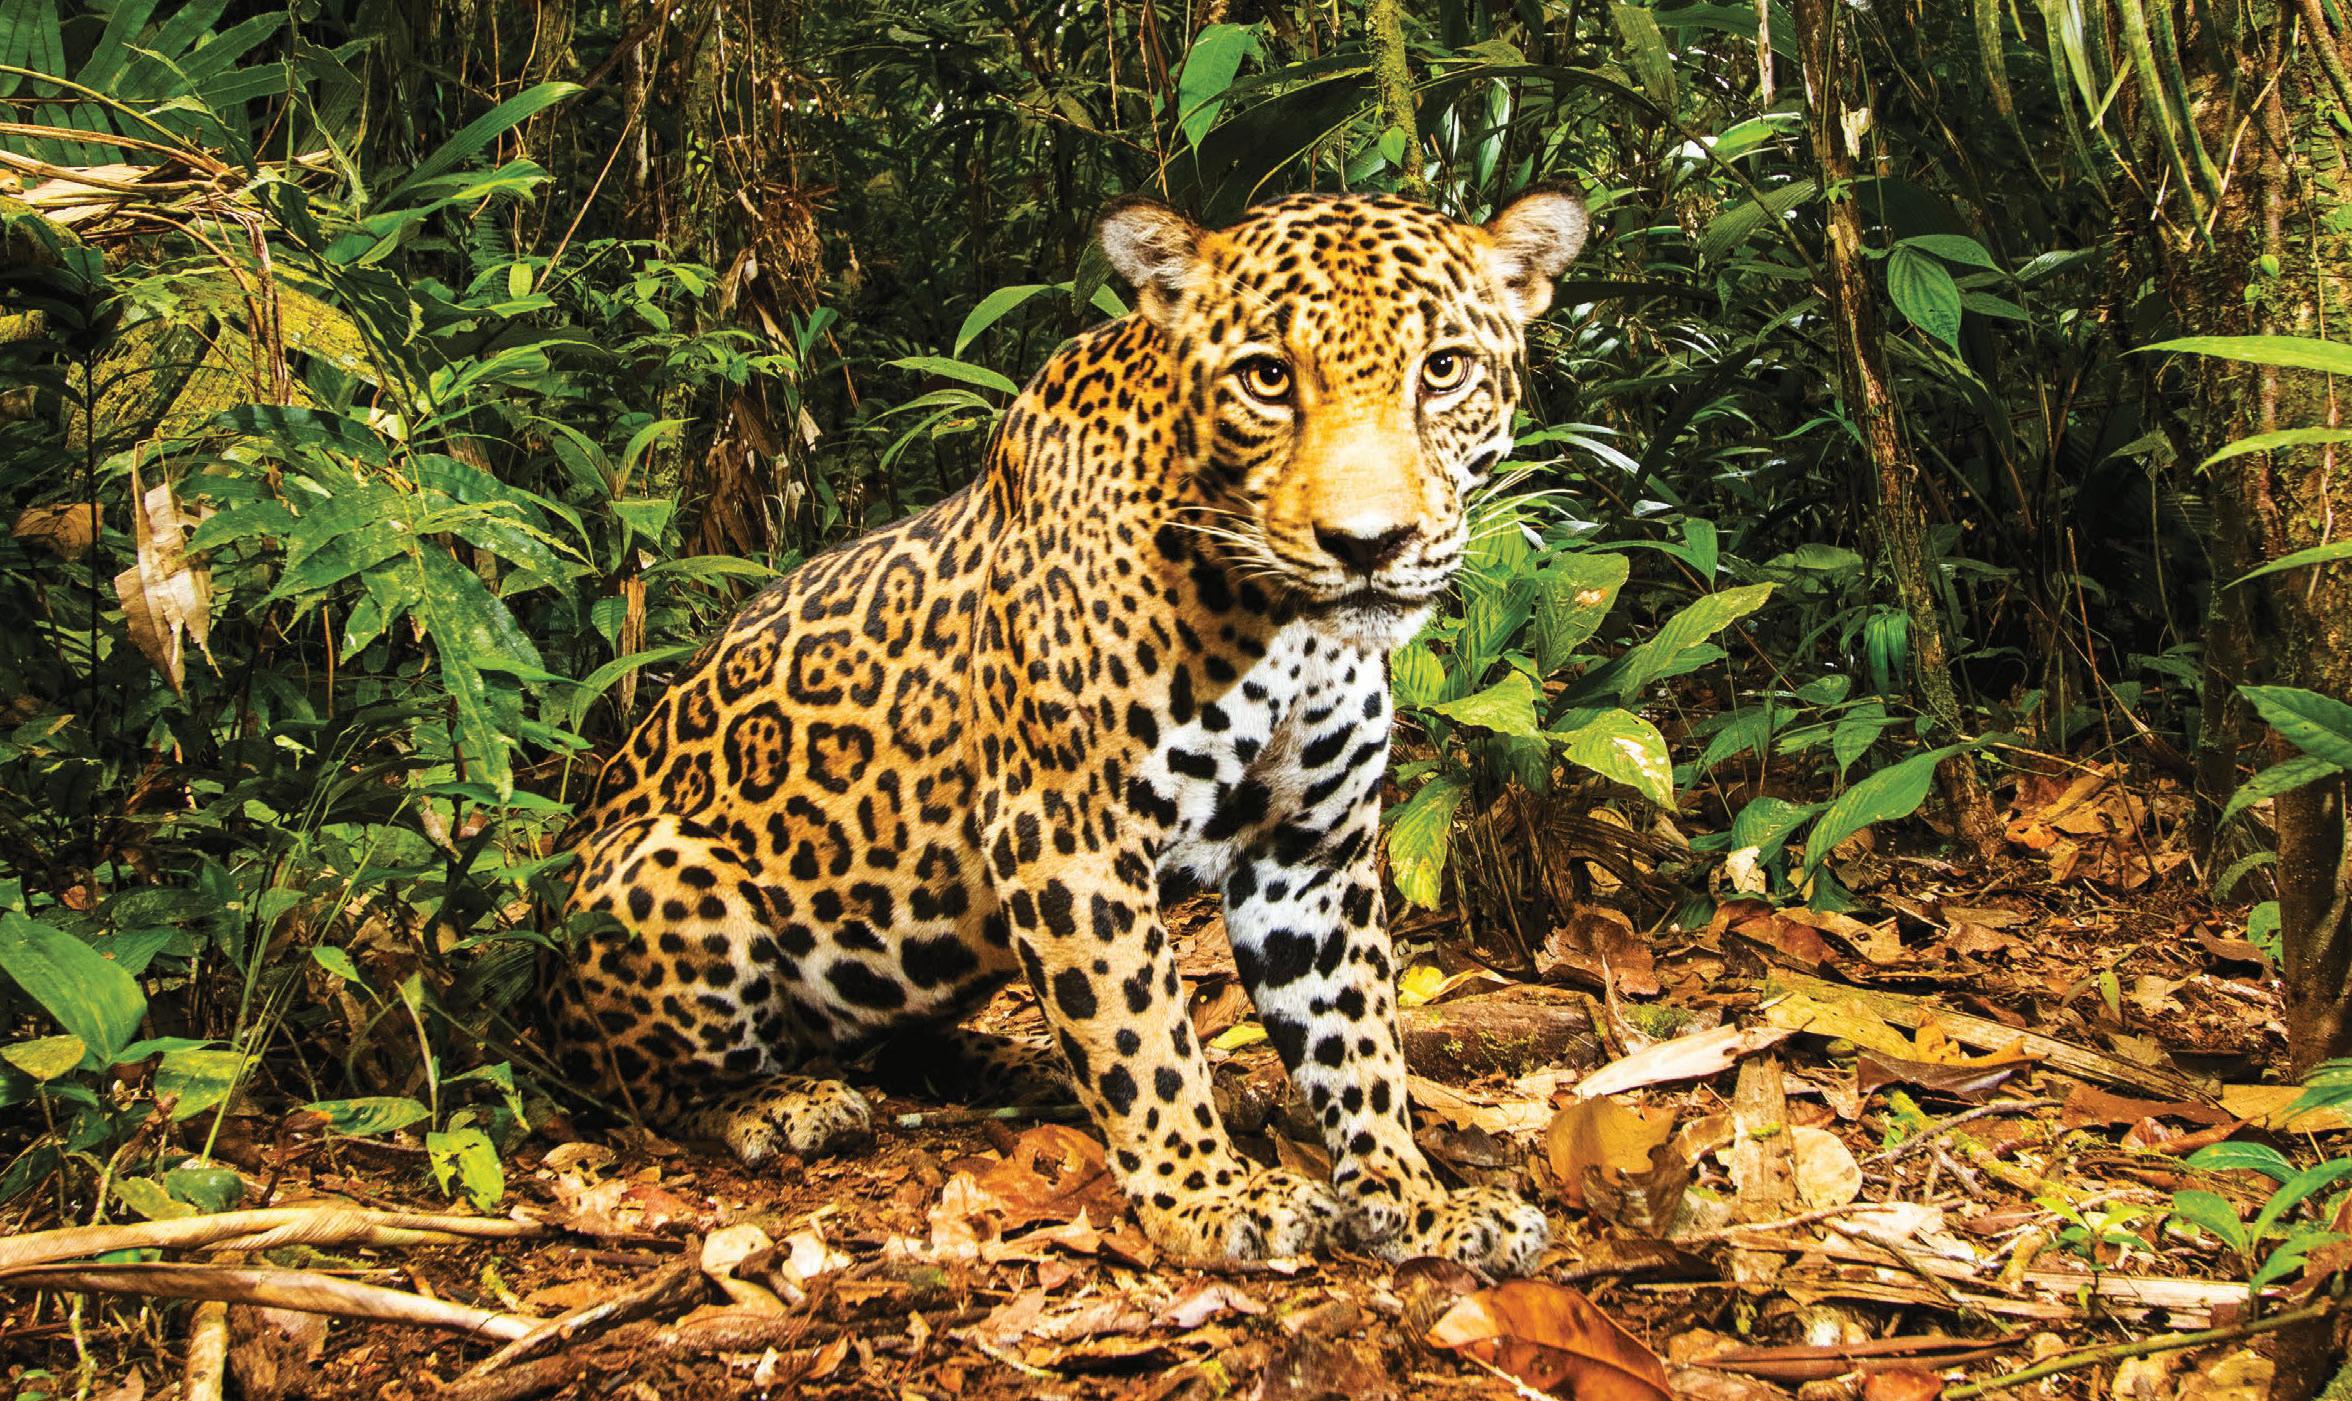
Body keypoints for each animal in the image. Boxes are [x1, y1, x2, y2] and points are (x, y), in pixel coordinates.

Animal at [548, 187, 1590, 1273]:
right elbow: (1143, 1031)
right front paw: (1208, 1195)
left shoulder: (1309, 858)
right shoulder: (1065, 834)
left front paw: (1419, 1199)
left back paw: (1012, 1065)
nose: (1367, 545)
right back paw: (781, 1103)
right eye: (1266, 377)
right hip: (658, 869)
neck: (1287, 624)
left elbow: (1357, 1042)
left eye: (1445, 369)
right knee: (644, 1087)